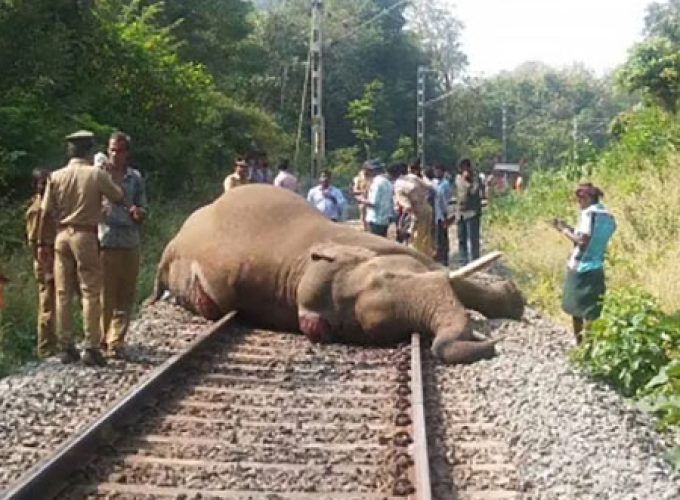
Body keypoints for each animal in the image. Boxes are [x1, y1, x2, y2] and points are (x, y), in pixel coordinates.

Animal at [148, 184, 524, 364]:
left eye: (386, 279)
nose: (490, 343)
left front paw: (513, 301)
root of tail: (169, 247)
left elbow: (436, 267)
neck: (300, 268)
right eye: (378, 327)